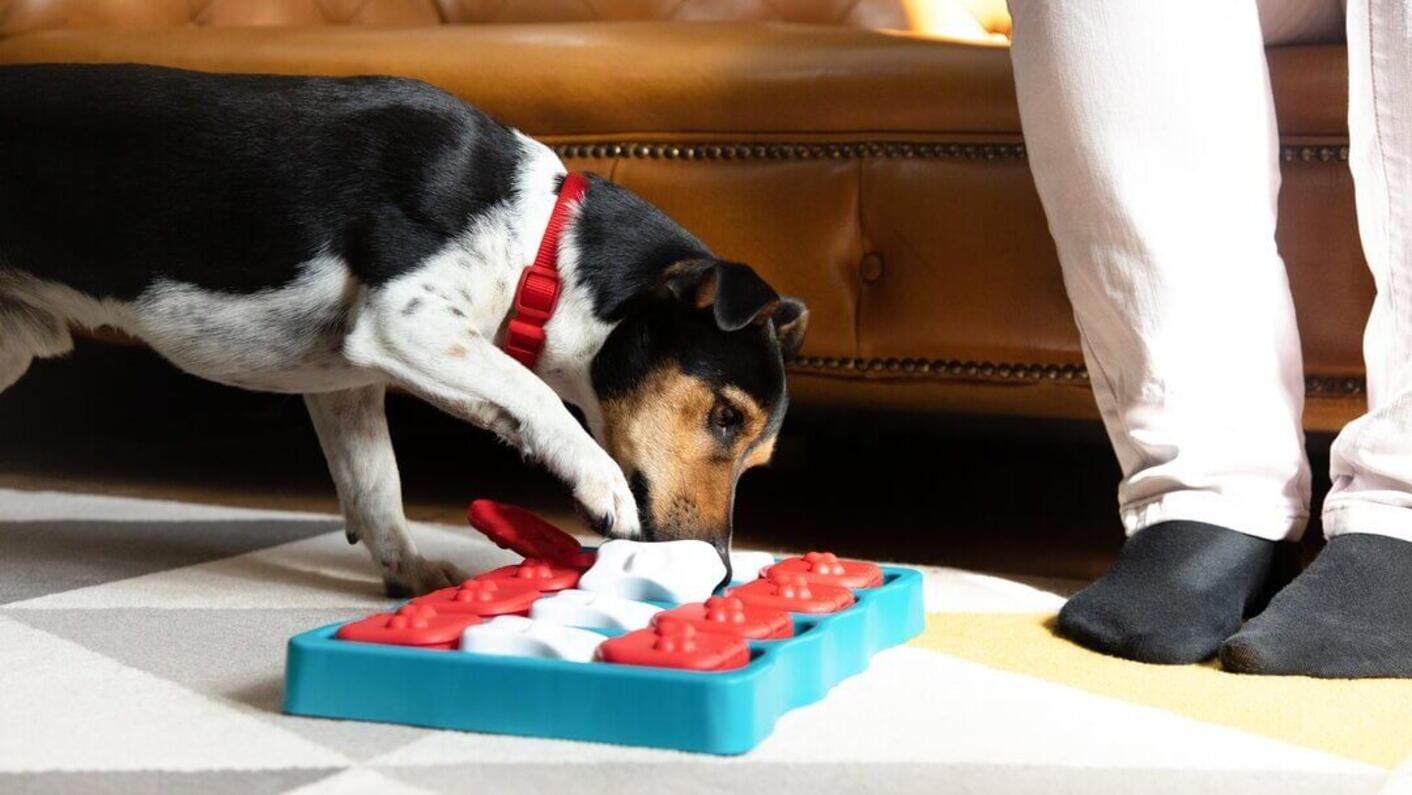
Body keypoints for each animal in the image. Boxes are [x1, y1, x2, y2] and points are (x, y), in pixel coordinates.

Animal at [0, 65, 813, 593]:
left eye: (757, 453)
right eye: (723, 417)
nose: (723, 570)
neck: (540, 244)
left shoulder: (345, 383)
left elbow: (376, 489)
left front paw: (411, 573)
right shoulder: (403, 324)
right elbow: (535, 395)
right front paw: (601, 482)